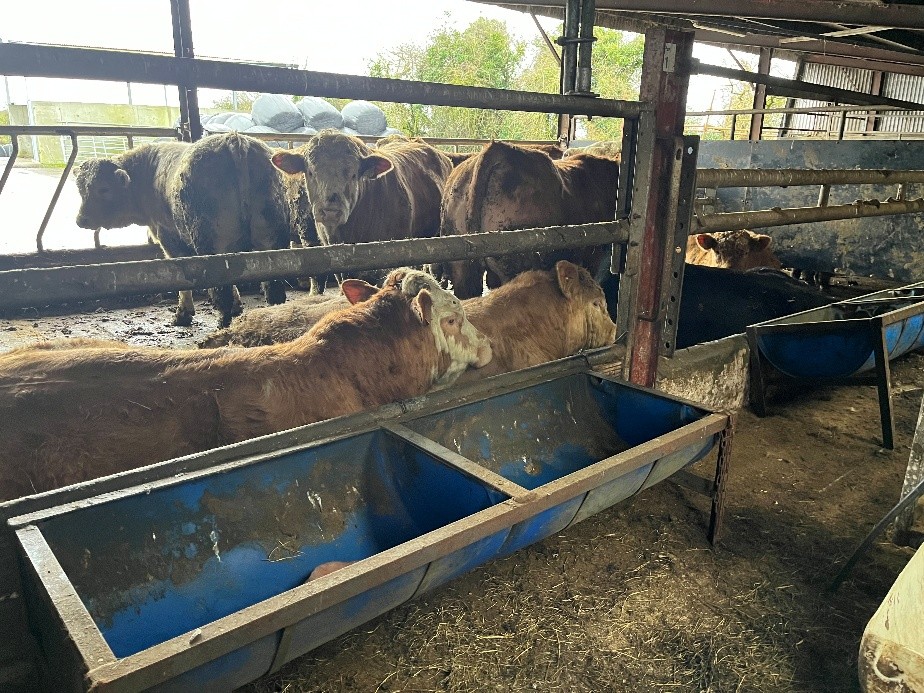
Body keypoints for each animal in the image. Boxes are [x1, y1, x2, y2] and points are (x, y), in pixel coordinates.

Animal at [75, 132, 302, 327]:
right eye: (80, 189)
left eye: (103, 189)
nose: (80, 220)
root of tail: (234, 140)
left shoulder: (168, 237)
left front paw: (183, 314)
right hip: (270, 242)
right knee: (273, 290)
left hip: (213, 247)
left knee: (223, 292)